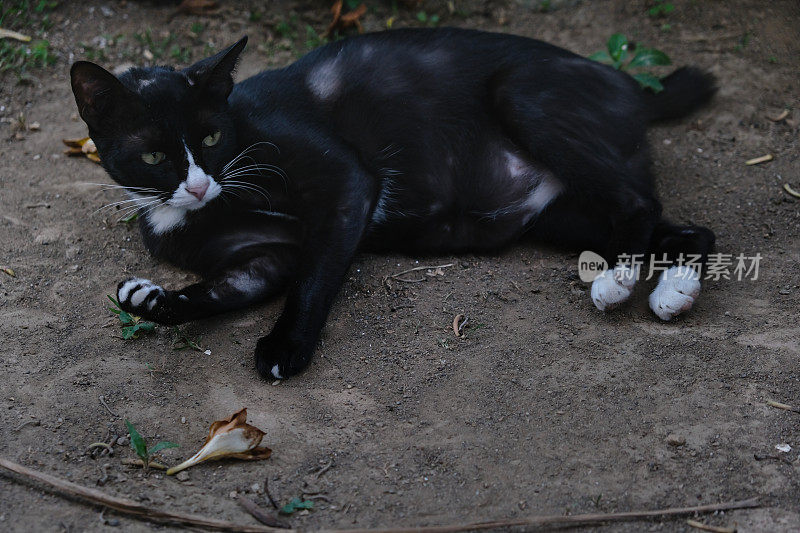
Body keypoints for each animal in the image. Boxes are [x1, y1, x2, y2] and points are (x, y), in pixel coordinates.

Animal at [72, 28, 716, 378]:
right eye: (153, 155)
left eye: (210, 138)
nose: (200, 185)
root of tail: (627, 84)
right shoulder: (266, 255)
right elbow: (232, 285)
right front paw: (151, 301)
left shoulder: (346, 184)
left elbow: (314, 277)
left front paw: (286, 348)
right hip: (562, 216)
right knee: (690, 229)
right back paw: (674, 291)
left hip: (524, 96)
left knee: (638, 201)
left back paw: (620, 278)